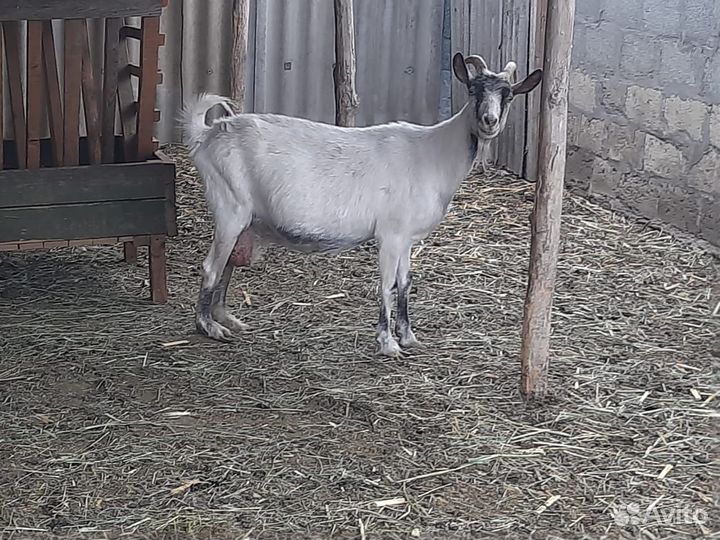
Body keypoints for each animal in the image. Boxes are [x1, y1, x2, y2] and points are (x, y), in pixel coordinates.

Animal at [181, 52, 542, 356]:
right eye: (472, 90)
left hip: (246, 219)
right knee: (211, 266)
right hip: (229, 207)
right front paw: (388, 343)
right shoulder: (390, 234)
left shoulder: (406, 237)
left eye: (508, 95)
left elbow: (405, 283)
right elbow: (386, 284)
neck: (434, 152)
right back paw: (208, 327)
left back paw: (227, 318)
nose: (489, 120)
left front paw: (408, 336)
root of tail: (208, 133)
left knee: (229, 263)